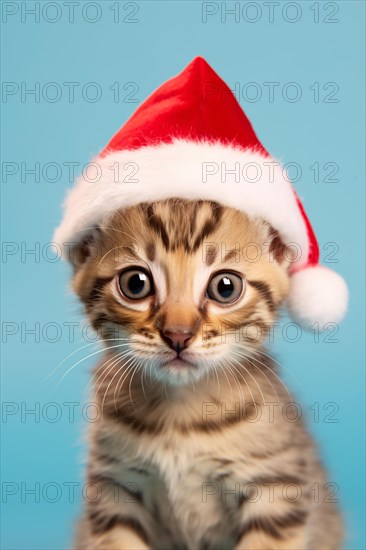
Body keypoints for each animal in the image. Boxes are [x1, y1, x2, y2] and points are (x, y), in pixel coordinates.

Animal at [72, 199, 344, 550]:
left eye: (225, 288)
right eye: (135, 284)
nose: (178, 335)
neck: (179, 414)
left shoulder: (276, 492)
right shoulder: (114, 490)